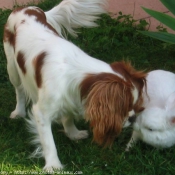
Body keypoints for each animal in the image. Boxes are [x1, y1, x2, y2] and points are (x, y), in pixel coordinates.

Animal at [3, 0, 146, 171]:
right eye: (124, 108)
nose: (133, 118)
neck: (76, 72)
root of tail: (27, 8)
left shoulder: (72, 96)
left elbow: (68, 117)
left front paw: (73, 133)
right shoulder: (41, 113)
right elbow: (48, 142)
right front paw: (53, 165)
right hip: (12, 68)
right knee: (19, 90)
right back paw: (19, 112)